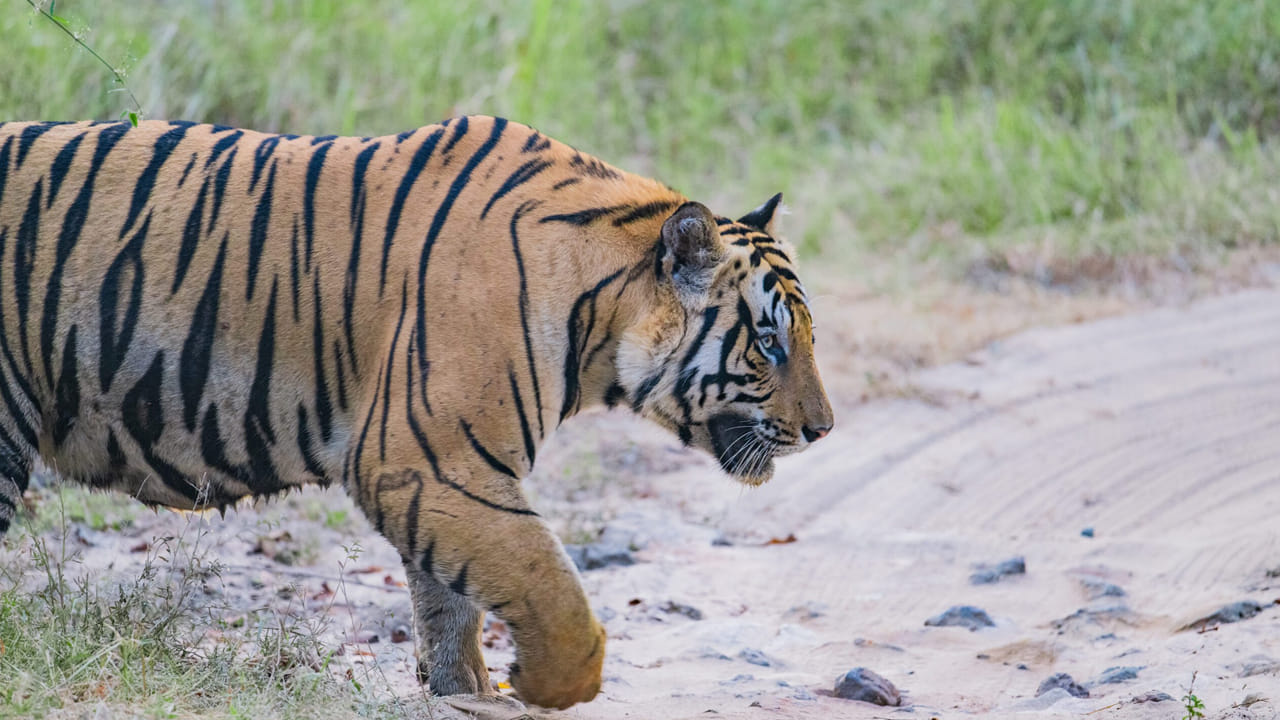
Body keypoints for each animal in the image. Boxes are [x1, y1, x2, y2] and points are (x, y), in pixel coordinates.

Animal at [0, 116, 834, 709]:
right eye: (769, 343)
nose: (824, 430)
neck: (596, 312)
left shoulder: (441, 465)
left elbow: (451, 597)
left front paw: (465, 690)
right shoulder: (425, 457)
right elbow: (546, 584)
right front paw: (539, 685)